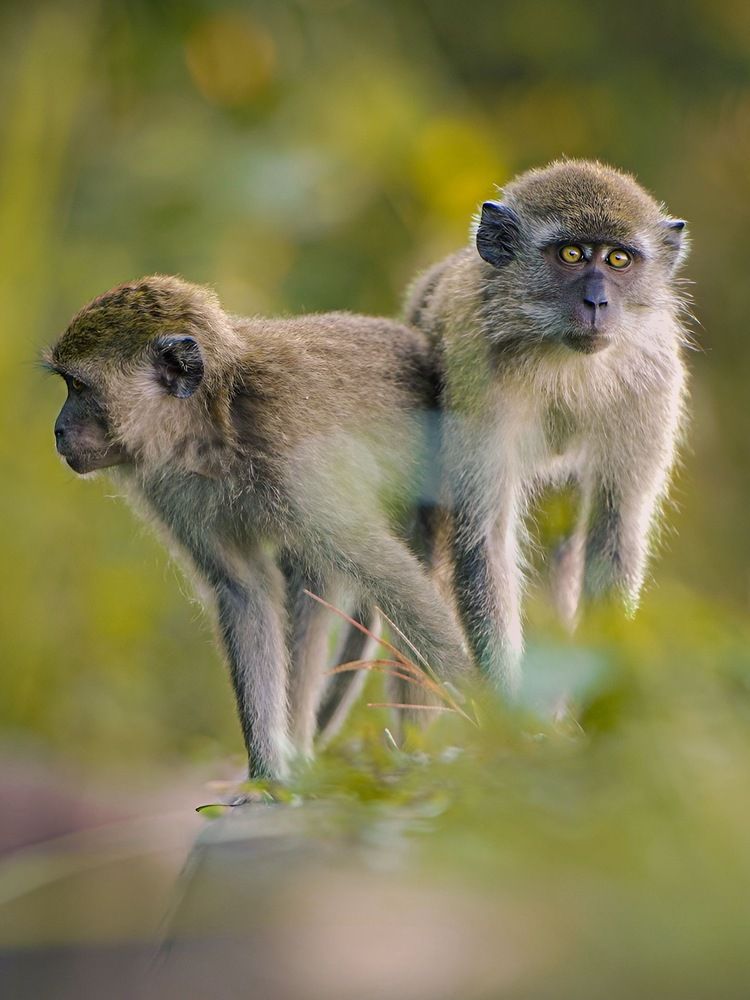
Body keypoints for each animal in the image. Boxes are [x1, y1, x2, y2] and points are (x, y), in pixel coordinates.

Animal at [45, 276, 469, 783]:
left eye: (77, 386)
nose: (58, 430)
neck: (213, 425)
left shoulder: (296, 462)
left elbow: (394, 579)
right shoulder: (171, 490)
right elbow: (246, 589)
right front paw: (267, 777)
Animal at [405, 159, 689, 697]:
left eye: (618, 259)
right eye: (572, 254)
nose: (598, 302)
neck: (565, 362)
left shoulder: (653, 381)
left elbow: (613, 535)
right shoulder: (479, 371)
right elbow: (486, 540)